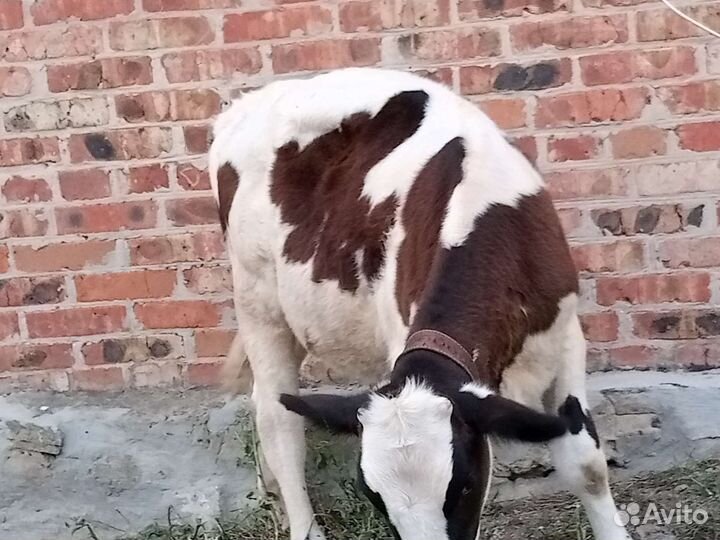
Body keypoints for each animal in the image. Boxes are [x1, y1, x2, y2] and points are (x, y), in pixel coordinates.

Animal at [209, 67, 629, 540]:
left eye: (464, 486)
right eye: (376, 500)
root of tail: (247, 105)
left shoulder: (565, 333)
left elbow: (586, 466)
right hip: (258, 303)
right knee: (279, 422)